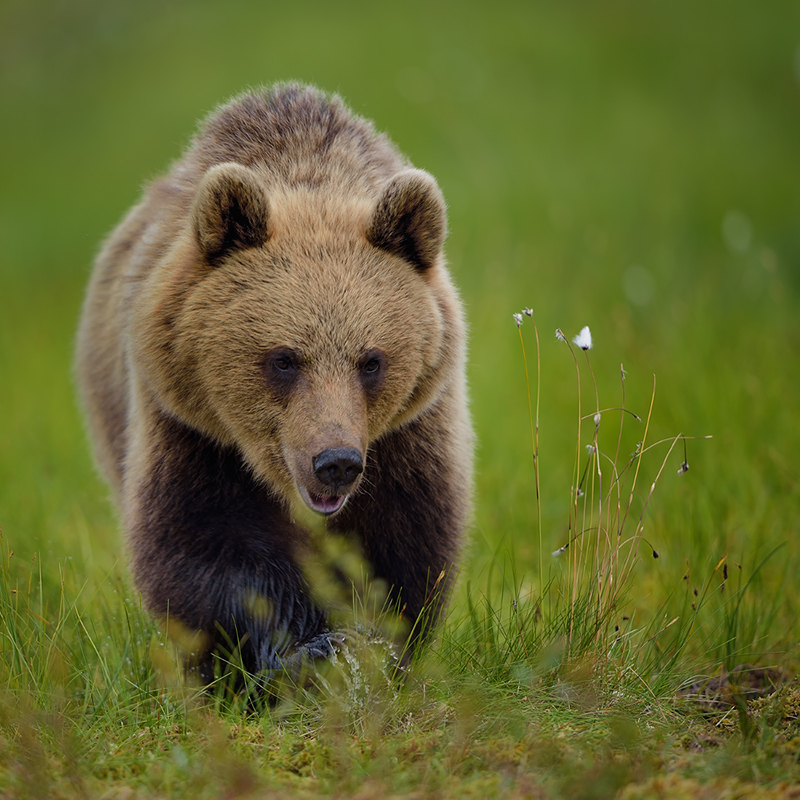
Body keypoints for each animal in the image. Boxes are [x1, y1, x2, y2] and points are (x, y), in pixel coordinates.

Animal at [76, 83, 468, 680]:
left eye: (371, 360)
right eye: (284, 359)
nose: (335, 462)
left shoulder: (409, 431)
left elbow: (402, 545)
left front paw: (364, 649)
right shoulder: (192, 427)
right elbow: (205, 545)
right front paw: (295, 651)